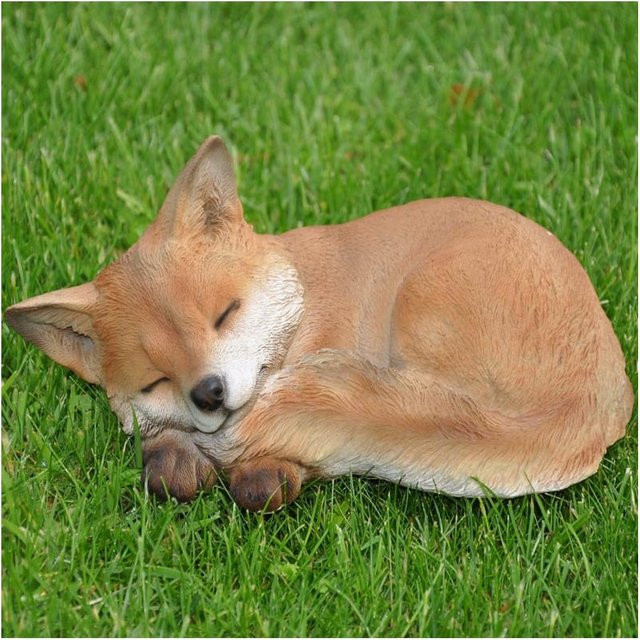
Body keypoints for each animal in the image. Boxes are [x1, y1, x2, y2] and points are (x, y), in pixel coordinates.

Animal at [5, 136, 634, 512]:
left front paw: (261, 470)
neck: (308, 307)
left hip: (421, 306)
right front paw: (178, 457)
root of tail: (580, 406)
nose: (209, 393)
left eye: (224, 314)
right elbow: (166, 458)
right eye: (156, 379)